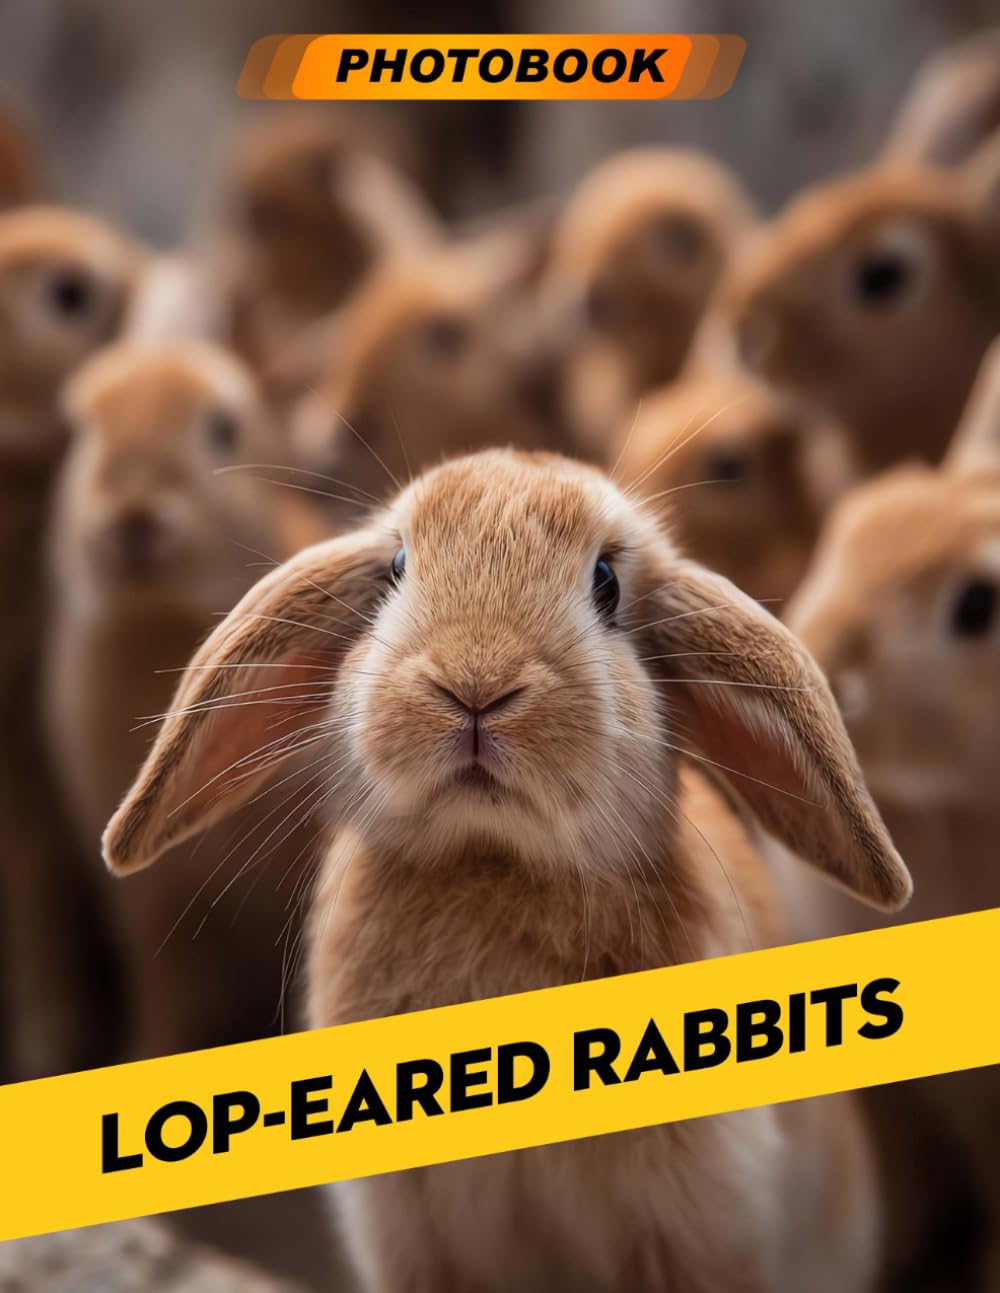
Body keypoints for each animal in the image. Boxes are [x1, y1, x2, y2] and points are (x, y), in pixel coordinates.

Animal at [45, 338, 333, 1062]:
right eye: (86, 428)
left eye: (222, 428)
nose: (133, 515)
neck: (158, 619)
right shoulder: (155, 923)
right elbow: (166, 1013)